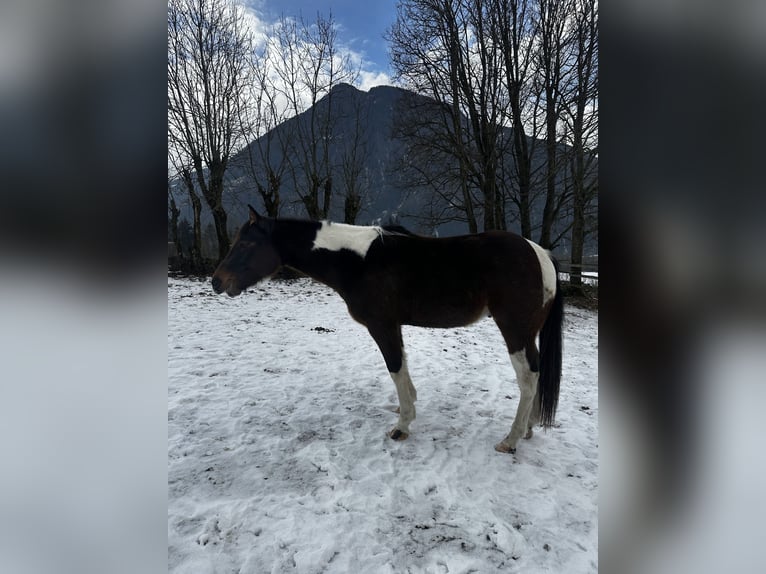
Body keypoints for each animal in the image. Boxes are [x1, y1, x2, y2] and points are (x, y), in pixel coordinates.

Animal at [210, 207, 564, 454]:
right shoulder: (394, 326)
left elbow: (394, 367)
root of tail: (540, 253)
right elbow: (403, 367)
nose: (216, 281)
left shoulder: (381, 326)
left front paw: (402, 425)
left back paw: (511, 439)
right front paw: (408, 406)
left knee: (528, 377)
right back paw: (528, 428)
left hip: (514, 331)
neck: (358, 261)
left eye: (248, 243)